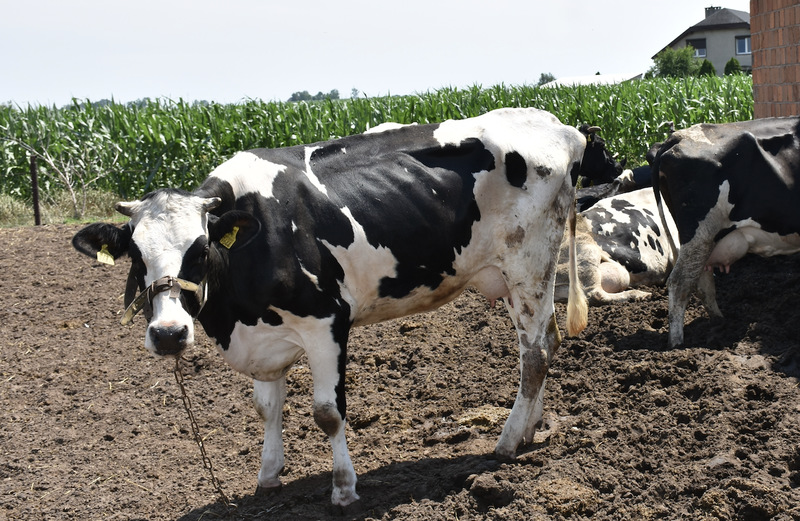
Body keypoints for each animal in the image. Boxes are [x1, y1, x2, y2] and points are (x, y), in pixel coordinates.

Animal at [72, 107, 616, 506]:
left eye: (201, 250)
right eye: (135, 255)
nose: (168, 334)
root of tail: (561, 126)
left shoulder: (326, 322)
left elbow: (328, 413)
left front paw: (344, 488)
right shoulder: (263, 337)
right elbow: (267, 408)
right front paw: (268, 476)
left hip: (530, 263)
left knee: (535, 353)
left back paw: (505, 443)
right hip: (512, 277)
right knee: (543, 342)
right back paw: (528, 432)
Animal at [652, 116, 800, 348]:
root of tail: (678, 136)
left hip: (702, 240)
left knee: (702, 281)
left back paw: (720, 323)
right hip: (700, 233)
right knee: (679, 282)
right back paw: (676, 344)